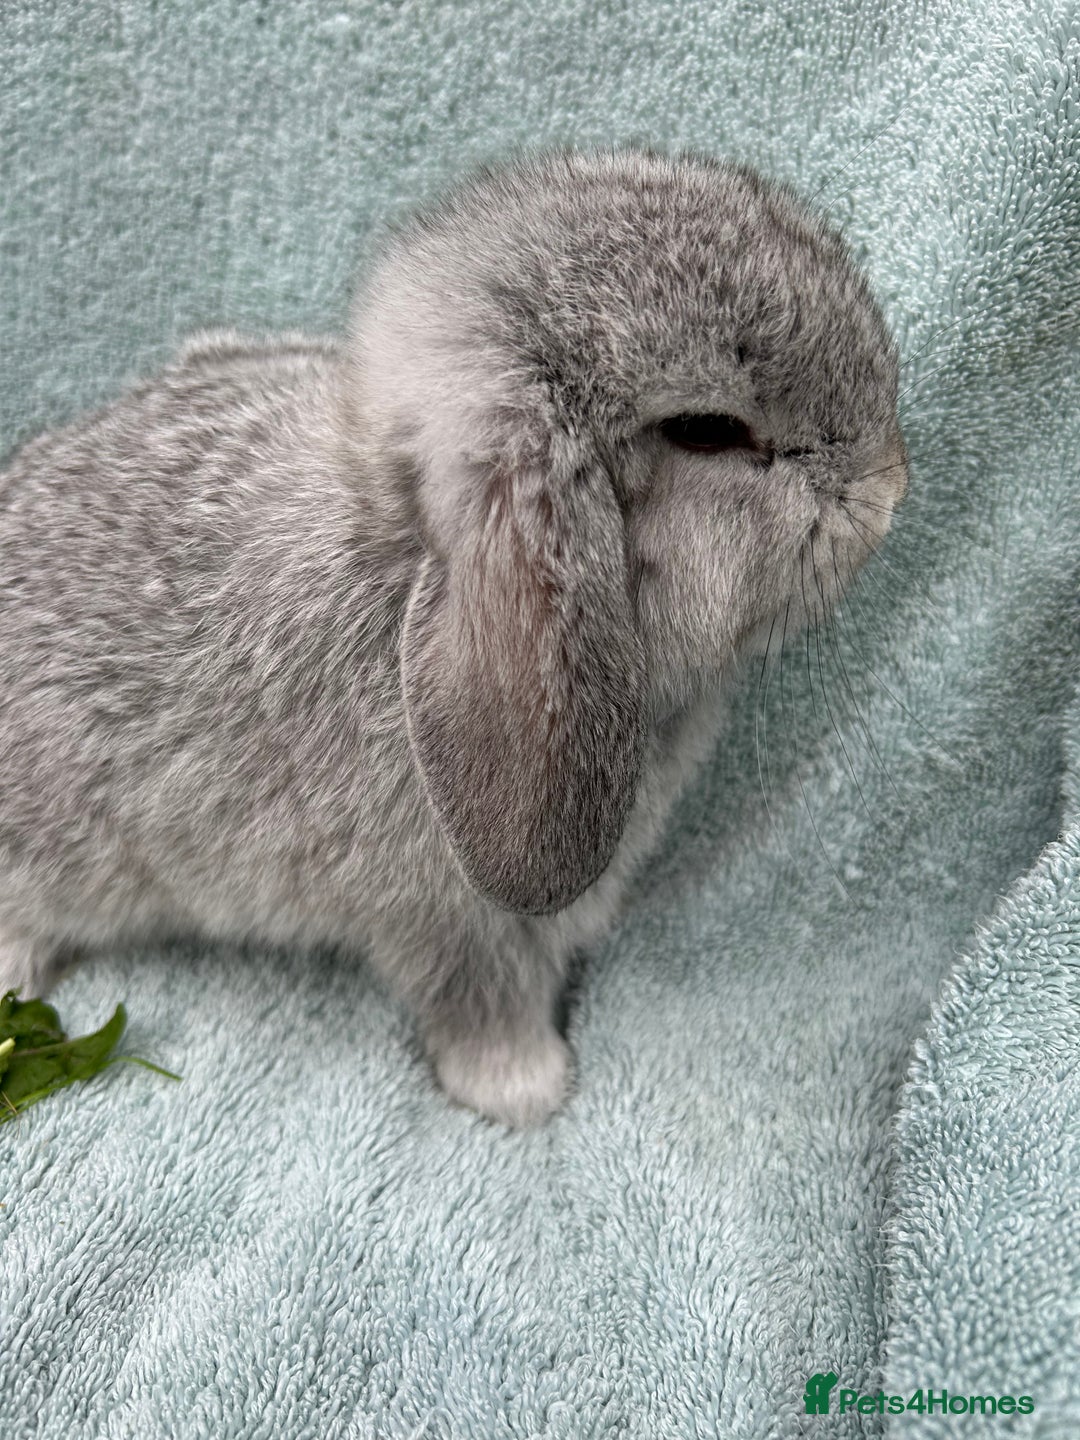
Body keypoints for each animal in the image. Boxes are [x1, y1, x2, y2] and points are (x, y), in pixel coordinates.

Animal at [0, 147, 907, 1126]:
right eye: (705, 430)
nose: (892, 486)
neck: (408, 561)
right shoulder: (449, 921)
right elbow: (476, 1003)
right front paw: (529, 1089)